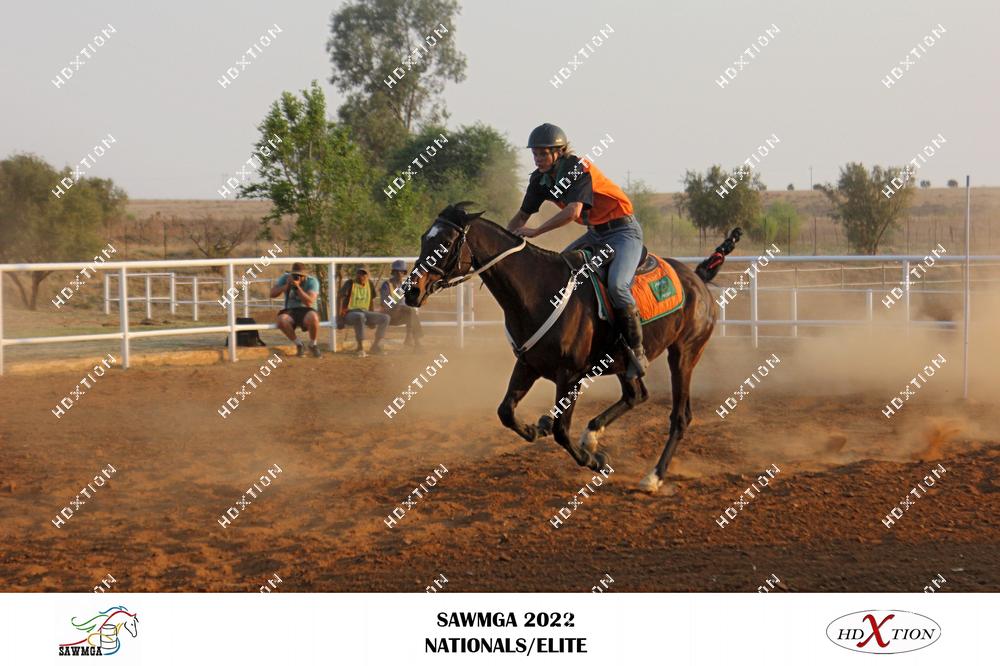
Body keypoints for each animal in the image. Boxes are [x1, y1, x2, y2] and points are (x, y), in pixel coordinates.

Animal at [403, 203, 740, 493]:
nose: (411, 291)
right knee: (636, 395)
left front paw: (595, 461)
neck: (538, 290)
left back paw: (653, 476)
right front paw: (536, 428)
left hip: (684, 354)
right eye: (423, 238)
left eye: (446, 242)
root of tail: (696, 278)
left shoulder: (571, 376)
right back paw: (591, 435)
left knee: (679, 418)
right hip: (623, 362)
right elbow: (506, 412)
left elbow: (561, 431)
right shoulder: (528, 365)